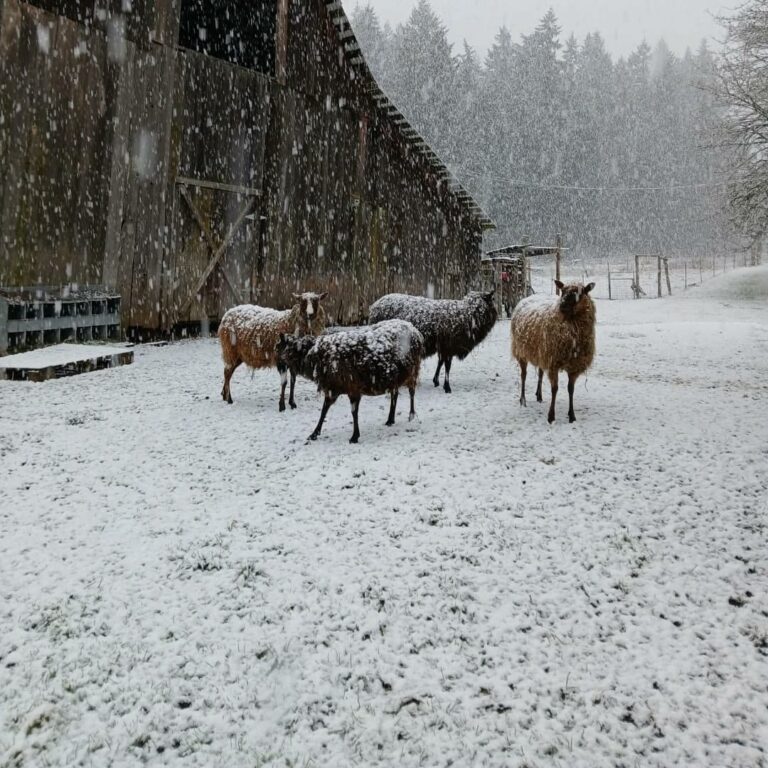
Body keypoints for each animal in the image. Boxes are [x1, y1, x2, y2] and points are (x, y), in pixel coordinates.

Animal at [272, 320, 424, 444]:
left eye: (278, 347)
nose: (278, 365)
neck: (316, 358)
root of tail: (416, 331)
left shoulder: (353, 388)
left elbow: (353, 412)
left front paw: (354, 436)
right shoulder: (333, 388)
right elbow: (324, 410)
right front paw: (314, 433)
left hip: (413, 370)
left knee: (411, 391)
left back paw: (411, 414)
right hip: (394, 378)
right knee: (395, 394)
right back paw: (390, 419)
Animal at [368, 290, 498, 392]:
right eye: (492, 300)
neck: (469, 316)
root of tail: (374, 306)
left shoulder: (443, 347)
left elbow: (440, 362)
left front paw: (436, 381)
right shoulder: (448, 346)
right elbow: (447, 366)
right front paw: (447, 387)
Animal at [512, 280, 596, 426]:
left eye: (580, 293)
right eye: (562, 291)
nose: (562, 305)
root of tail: (527, 297)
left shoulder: (574, 365)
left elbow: (570, 389)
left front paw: (572, 416)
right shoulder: (553, 363)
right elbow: (555, 389)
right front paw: (551, 416)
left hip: (541, 353)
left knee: (540, 373)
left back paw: (539, 395)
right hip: (521, 351)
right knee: (523, 375)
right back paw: (523, 400)